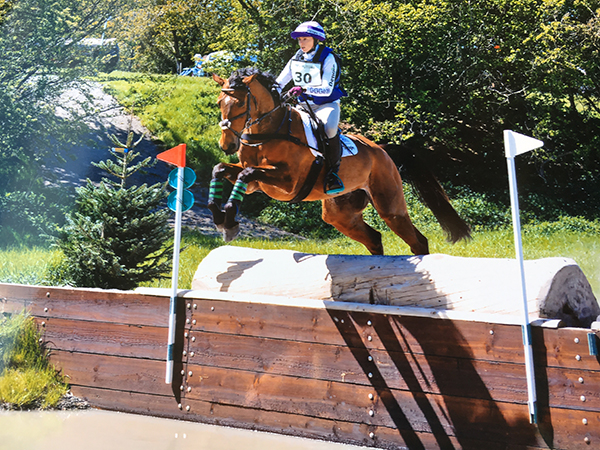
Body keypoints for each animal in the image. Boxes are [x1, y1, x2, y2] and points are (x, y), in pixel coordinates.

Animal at [209, 68, 472, 255]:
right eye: (220, 103)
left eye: (241, 103)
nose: (226, 145)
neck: (268, 132)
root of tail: (382, 150)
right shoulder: (255, 183)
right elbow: (221, 169)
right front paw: (220, 218)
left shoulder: (288, 183)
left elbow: (246, 173)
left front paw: (229, 222)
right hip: (341, 214)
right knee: (375, 239)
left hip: (390, 207)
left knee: (417, 241)